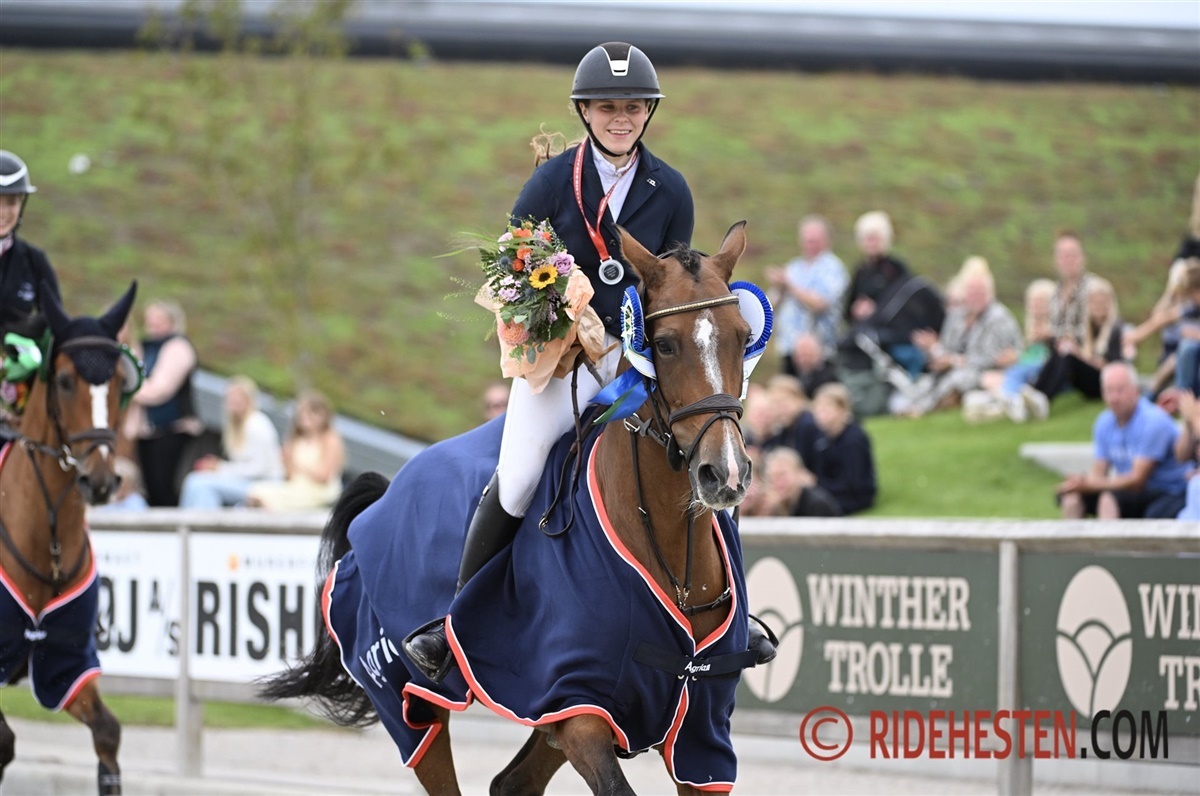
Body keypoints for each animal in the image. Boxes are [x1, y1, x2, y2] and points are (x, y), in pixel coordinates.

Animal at [0, 282, 140, 796]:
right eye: (63, 380)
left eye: (117, 382)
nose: (98, 480)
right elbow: (3, 743)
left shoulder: (67, 662)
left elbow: (108, 733)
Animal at [262, 223, 769, 795]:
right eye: (663, 344)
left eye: (742, 337)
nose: (724, 473)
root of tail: (385, 497)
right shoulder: (576, 704)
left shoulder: (700, 733)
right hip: (412, 705)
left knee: (512, 783)